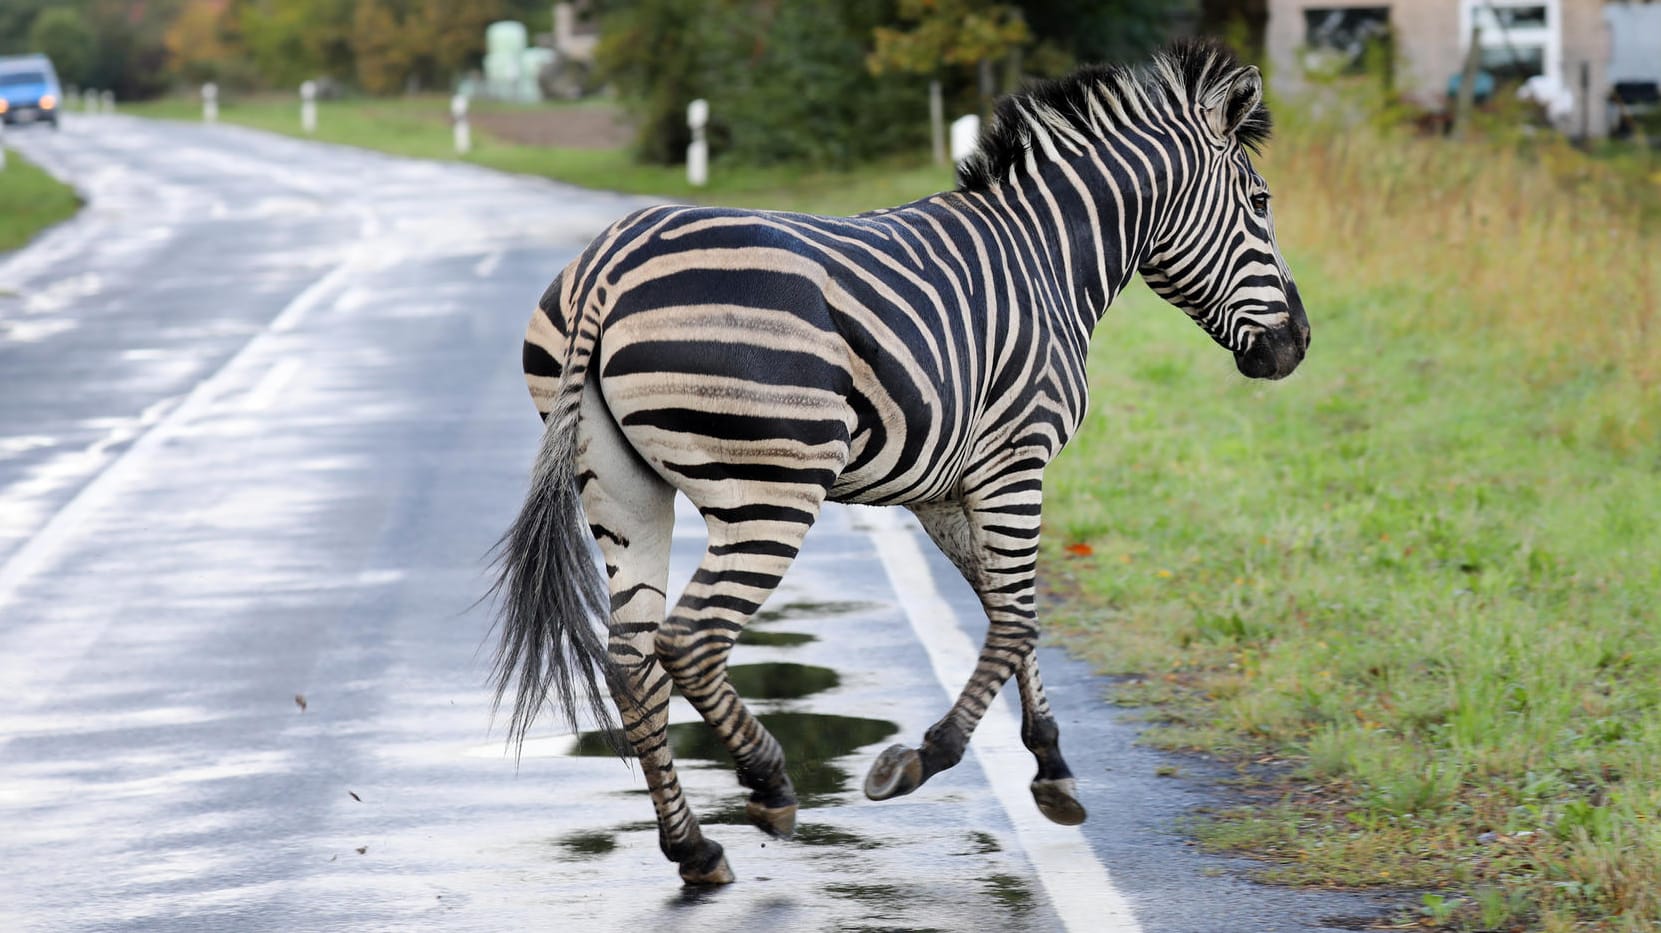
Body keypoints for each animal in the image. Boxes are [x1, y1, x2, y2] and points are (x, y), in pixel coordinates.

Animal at [491, 34, 1308, 876]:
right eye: (1260, 203)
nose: (1297, 346)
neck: (1046, 258)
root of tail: (607, 264)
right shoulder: (1016, 461)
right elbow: (1015, 618)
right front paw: (923, 758)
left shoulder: (943, 488)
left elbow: (1007, 610)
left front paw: (1051, 765)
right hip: (771, 488)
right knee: (688, 639)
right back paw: (768, 782)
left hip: (621, 488)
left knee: (630, 659)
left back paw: (693, 847)